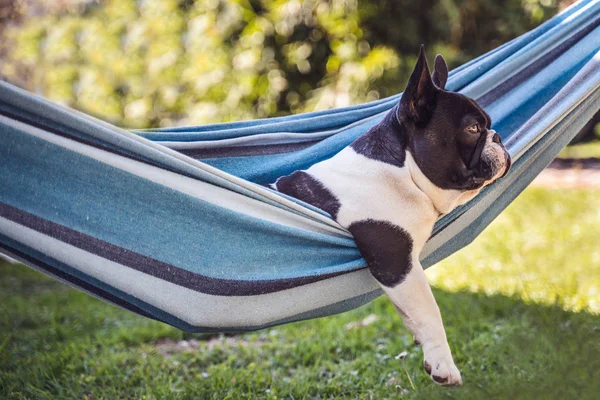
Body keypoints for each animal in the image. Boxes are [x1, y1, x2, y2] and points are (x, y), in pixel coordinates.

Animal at [272, 46, 510, 384]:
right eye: (473, 129)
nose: (498, 136)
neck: (403, 171)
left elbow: (414, 314)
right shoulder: (398, 263)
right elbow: (429, 310)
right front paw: (443, 364)